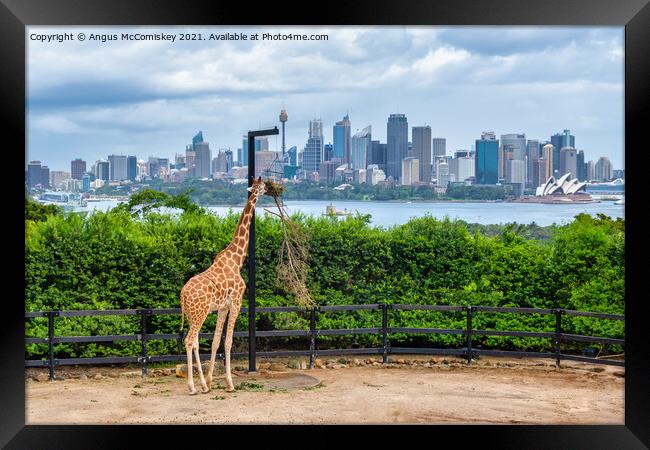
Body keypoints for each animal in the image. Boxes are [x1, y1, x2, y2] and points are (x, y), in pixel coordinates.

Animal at [177, 176, 266, 394]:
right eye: (263, 185)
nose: (269, 189)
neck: (237, 259)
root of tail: (182, 295)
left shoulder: (223, 307)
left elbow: (216, 341)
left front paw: (210, 381)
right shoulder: (236, 302)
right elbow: (228, 342)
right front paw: (230, 383)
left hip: (192, 314)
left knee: (195, 342)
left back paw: (202, 385)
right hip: (199, 313)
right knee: (189, 340)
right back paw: (192, 386)